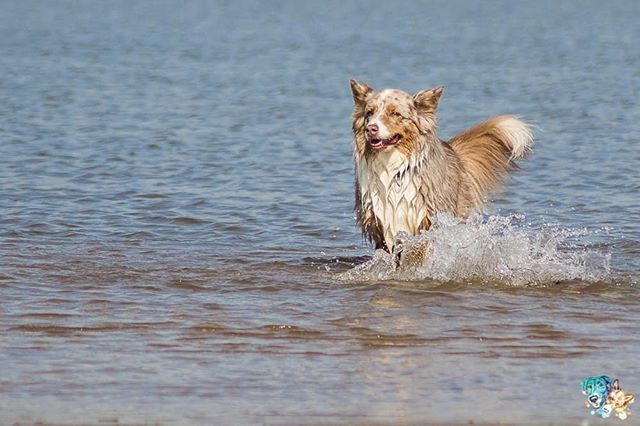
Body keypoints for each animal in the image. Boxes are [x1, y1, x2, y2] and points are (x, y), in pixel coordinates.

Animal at [348, 79, 532, 260]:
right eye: (369, 113)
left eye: (395, 114)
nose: (371, 128)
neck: (394, 171)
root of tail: (453, 150)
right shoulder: (379, 225)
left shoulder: (427, 220)